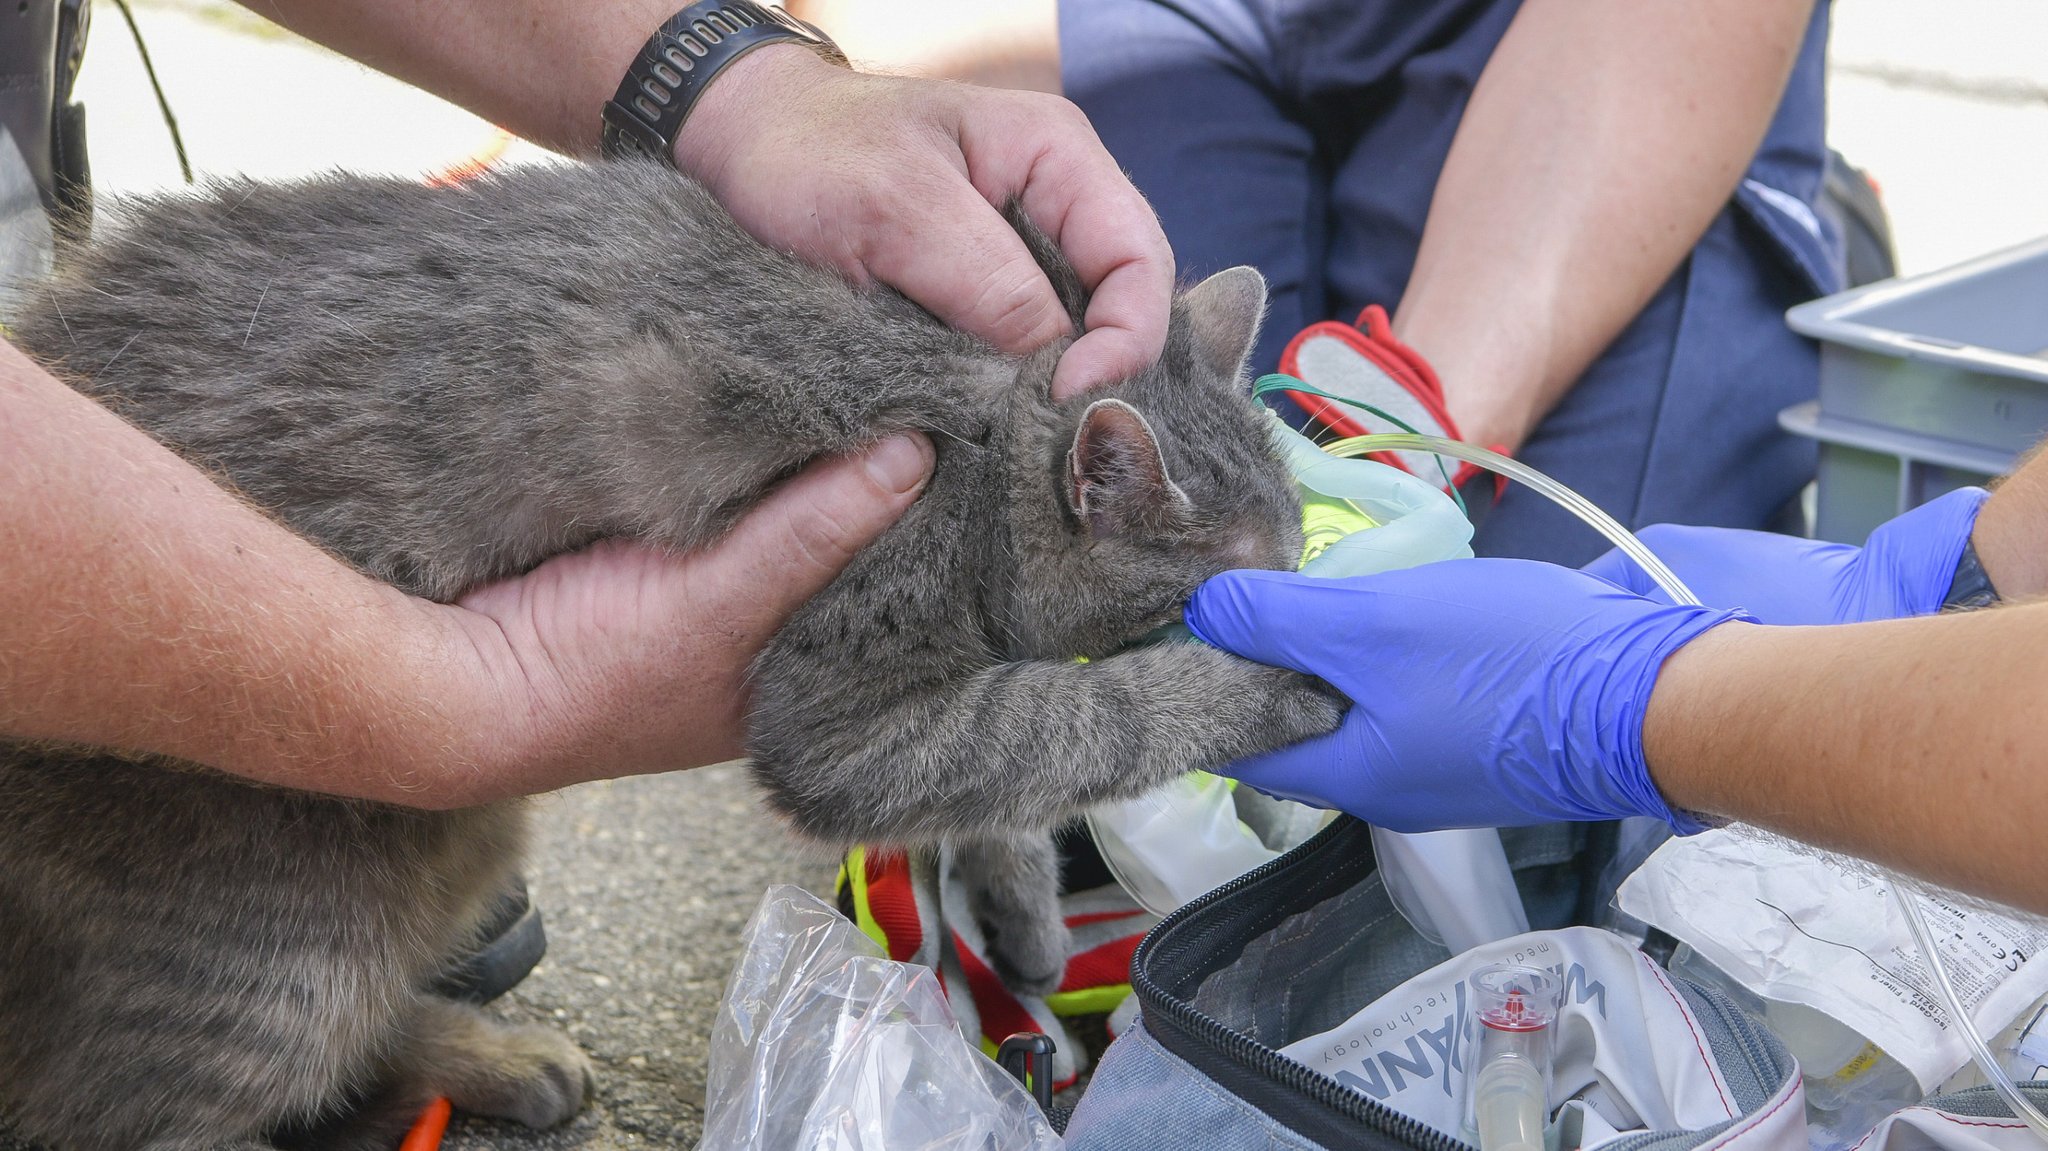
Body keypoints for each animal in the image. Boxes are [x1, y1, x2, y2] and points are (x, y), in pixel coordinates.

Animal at [0, 154, 1335, 1146]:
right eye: (1236, 591)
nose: (1316, 596)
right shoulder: (845, 710)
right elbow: (1084, 717)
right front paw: (1265, 683)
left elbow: (1003, 778)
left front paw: (1023, 917)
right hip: (287, 941)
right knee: (119, 1108)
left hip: (459, 834)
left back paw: (489, 1056)